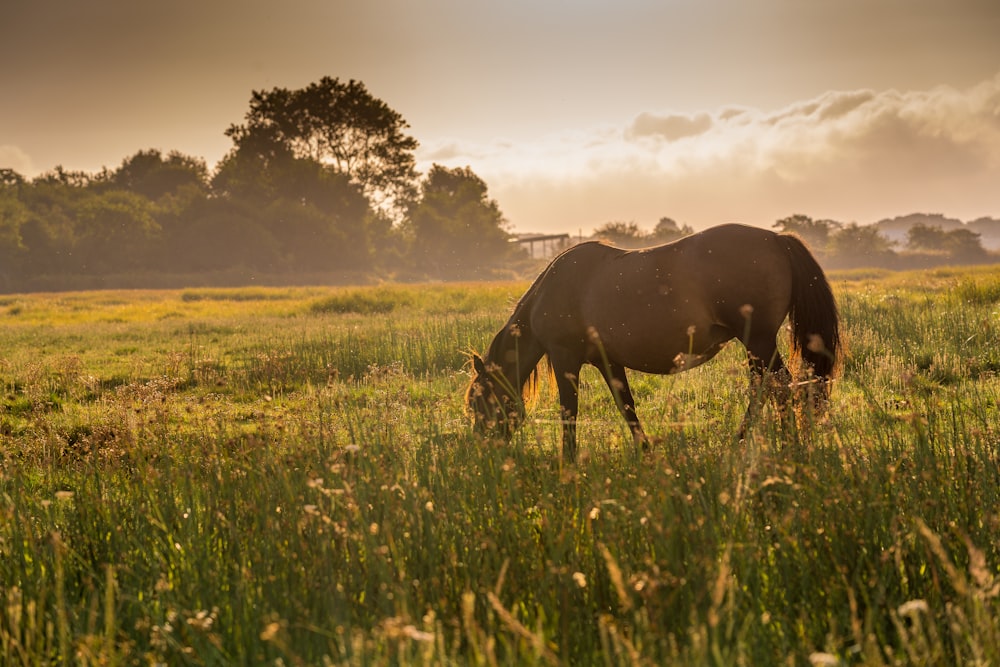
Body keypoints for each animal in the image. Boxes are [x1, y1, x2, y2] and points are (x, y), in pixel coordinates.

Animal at [464, 223, 840, 460]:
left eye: (478, 402)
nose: (483, 448)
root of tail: (776, 239)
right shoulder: (607, 360)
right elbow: (626, 405)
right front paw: (645, 450)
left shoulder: (564, 358)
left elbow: (569, 412)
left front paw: (567, 461)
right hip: (756, 345)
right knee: (768, 388)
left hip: (758, 341)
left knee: (780, 387)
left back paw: (781, 442)